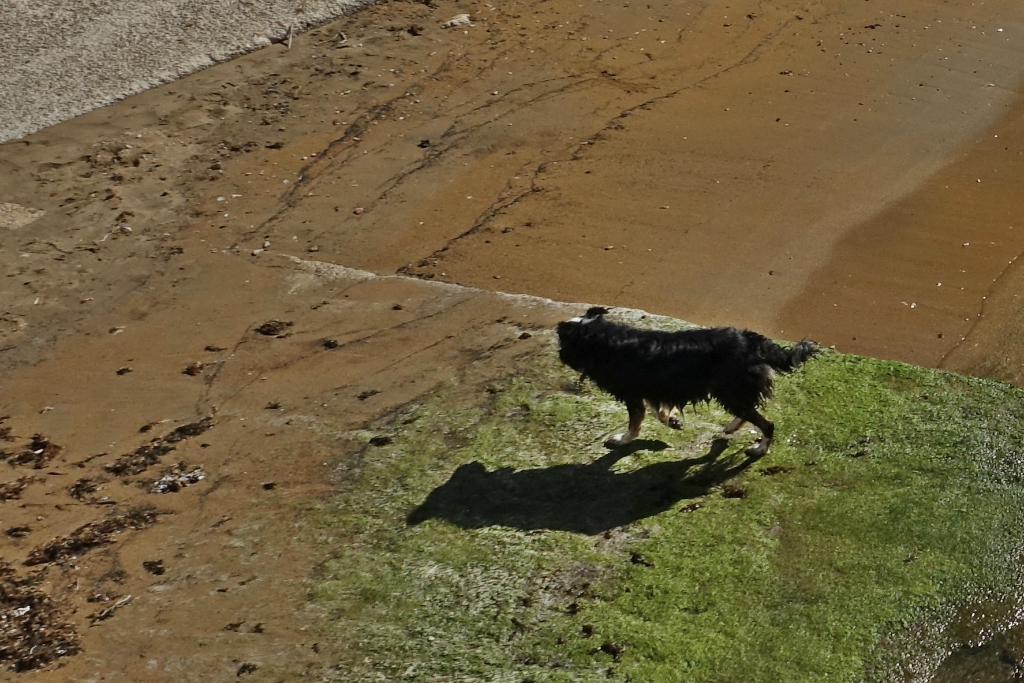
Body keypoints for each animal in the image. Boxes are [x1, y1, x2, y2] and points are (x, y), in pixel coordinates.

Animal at [552, 309, 815, 456]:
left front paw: (621, 440)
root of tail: (752, 341)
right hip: (733, 392)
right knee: (748, 412)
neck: (605, 340)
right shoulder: (653, 388)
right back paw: (731, 428)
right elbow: (657, 411)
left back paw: (760, 449)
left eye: (563, 342)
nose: (560, 354)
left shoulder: (633, 394)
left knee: (766, 424)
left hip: (730, 391)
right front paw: (673, 421)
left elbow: (635, 423)